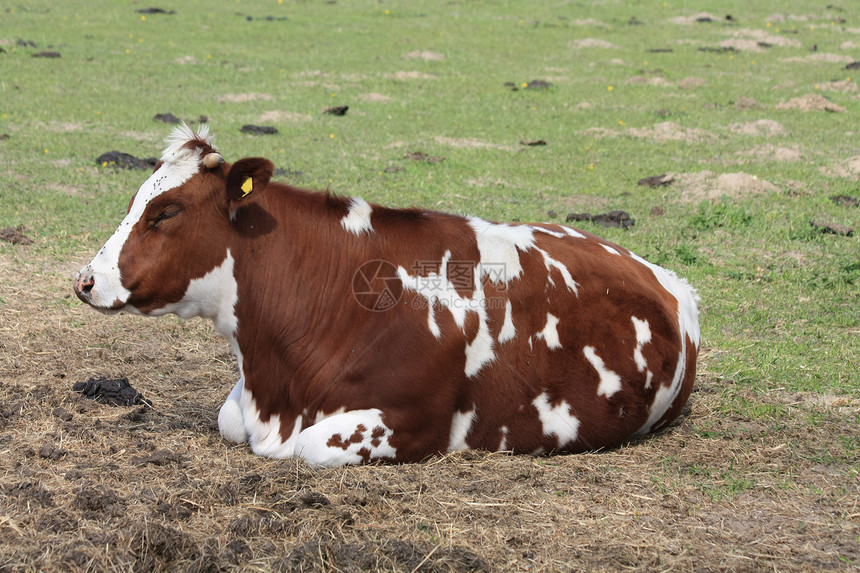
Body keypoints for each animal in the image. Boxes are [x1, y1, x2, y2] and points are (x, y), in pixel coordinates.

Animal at [74, 124, 700, 464]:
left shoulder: (415, 420)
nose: (86, 280)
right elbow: (227, 418)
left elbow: (310, 447)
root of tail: (664, 276)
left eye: (166, 212)